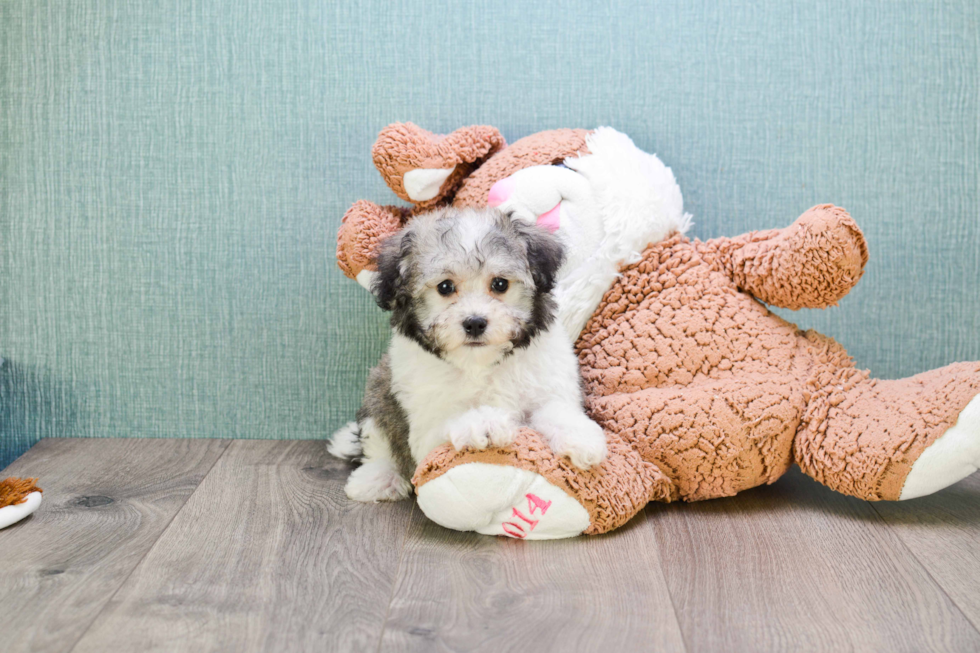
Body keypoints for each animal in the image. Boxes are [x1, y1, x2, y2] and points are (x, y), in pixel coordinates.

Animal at [330, 206, 604, 502]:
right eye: (445, 287)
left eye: (500, 284)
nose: (474, 323)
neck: (480, 364)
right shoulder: (425, 426)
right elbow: (445, 423)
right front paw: (484, 421)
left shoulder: (547, 382)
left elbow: (555, 409)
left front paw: (580, 436)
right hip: (378, 393)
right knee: (378, 441)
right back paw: (378, 478)